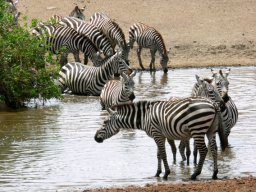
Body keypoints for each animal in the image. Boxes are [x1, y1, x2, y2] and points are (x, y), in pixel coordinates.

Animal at [94, 98, 228, 181]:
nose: (95, 138)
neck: (145, 117)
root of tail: (213, 103)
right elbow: (158, 154)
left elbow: (163, 154)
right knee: (214, 149)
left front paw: (166, 173)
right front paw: (157, 173)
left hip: (197, 128)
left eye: (105, 122)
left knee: (204, 150)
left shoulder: (157, 134)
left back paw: (195, 174)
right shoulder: (159, 135)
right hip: (211, 129)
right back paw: (215, 174)